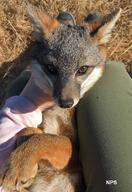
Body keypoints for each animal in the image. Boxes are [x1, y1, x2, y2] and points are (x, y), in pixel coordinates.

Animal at [0, 5, 121, 192]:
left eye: (82, 69)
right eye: (51, 68)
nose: (66, 103)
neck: (53, 111)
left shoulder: (75, 157)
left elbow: (47, 139)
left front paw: (19, 165)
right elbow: (28, 131)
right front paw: (20, 163)